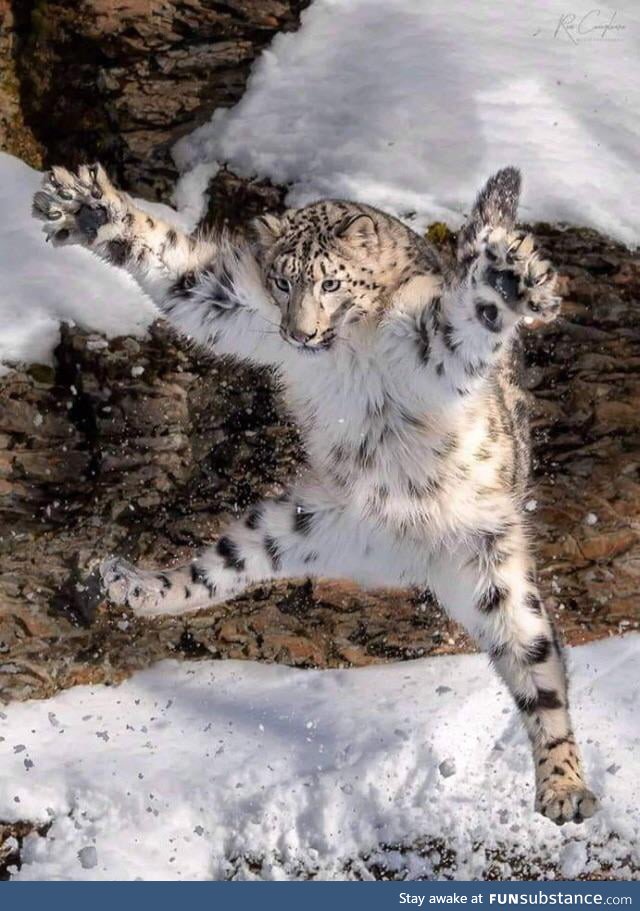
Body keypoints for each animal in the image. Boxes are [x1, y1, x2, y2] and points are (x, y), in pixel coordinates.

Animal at [32, 164, 596, 828]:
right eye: (282, 280)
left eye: (330, 281)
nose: (299, 334)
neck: (348, 348)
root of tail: (403, 560)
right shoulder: (231, 302)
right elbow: (178, 269)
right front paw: (89, 209)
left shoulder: (432, 342)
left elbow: (469, 317)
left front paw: (509, 277)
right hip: (292, 525)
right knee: (210, 574)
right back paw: (128, 585)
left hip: (495, 570)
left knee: (539, 675)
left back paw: (565, 789)